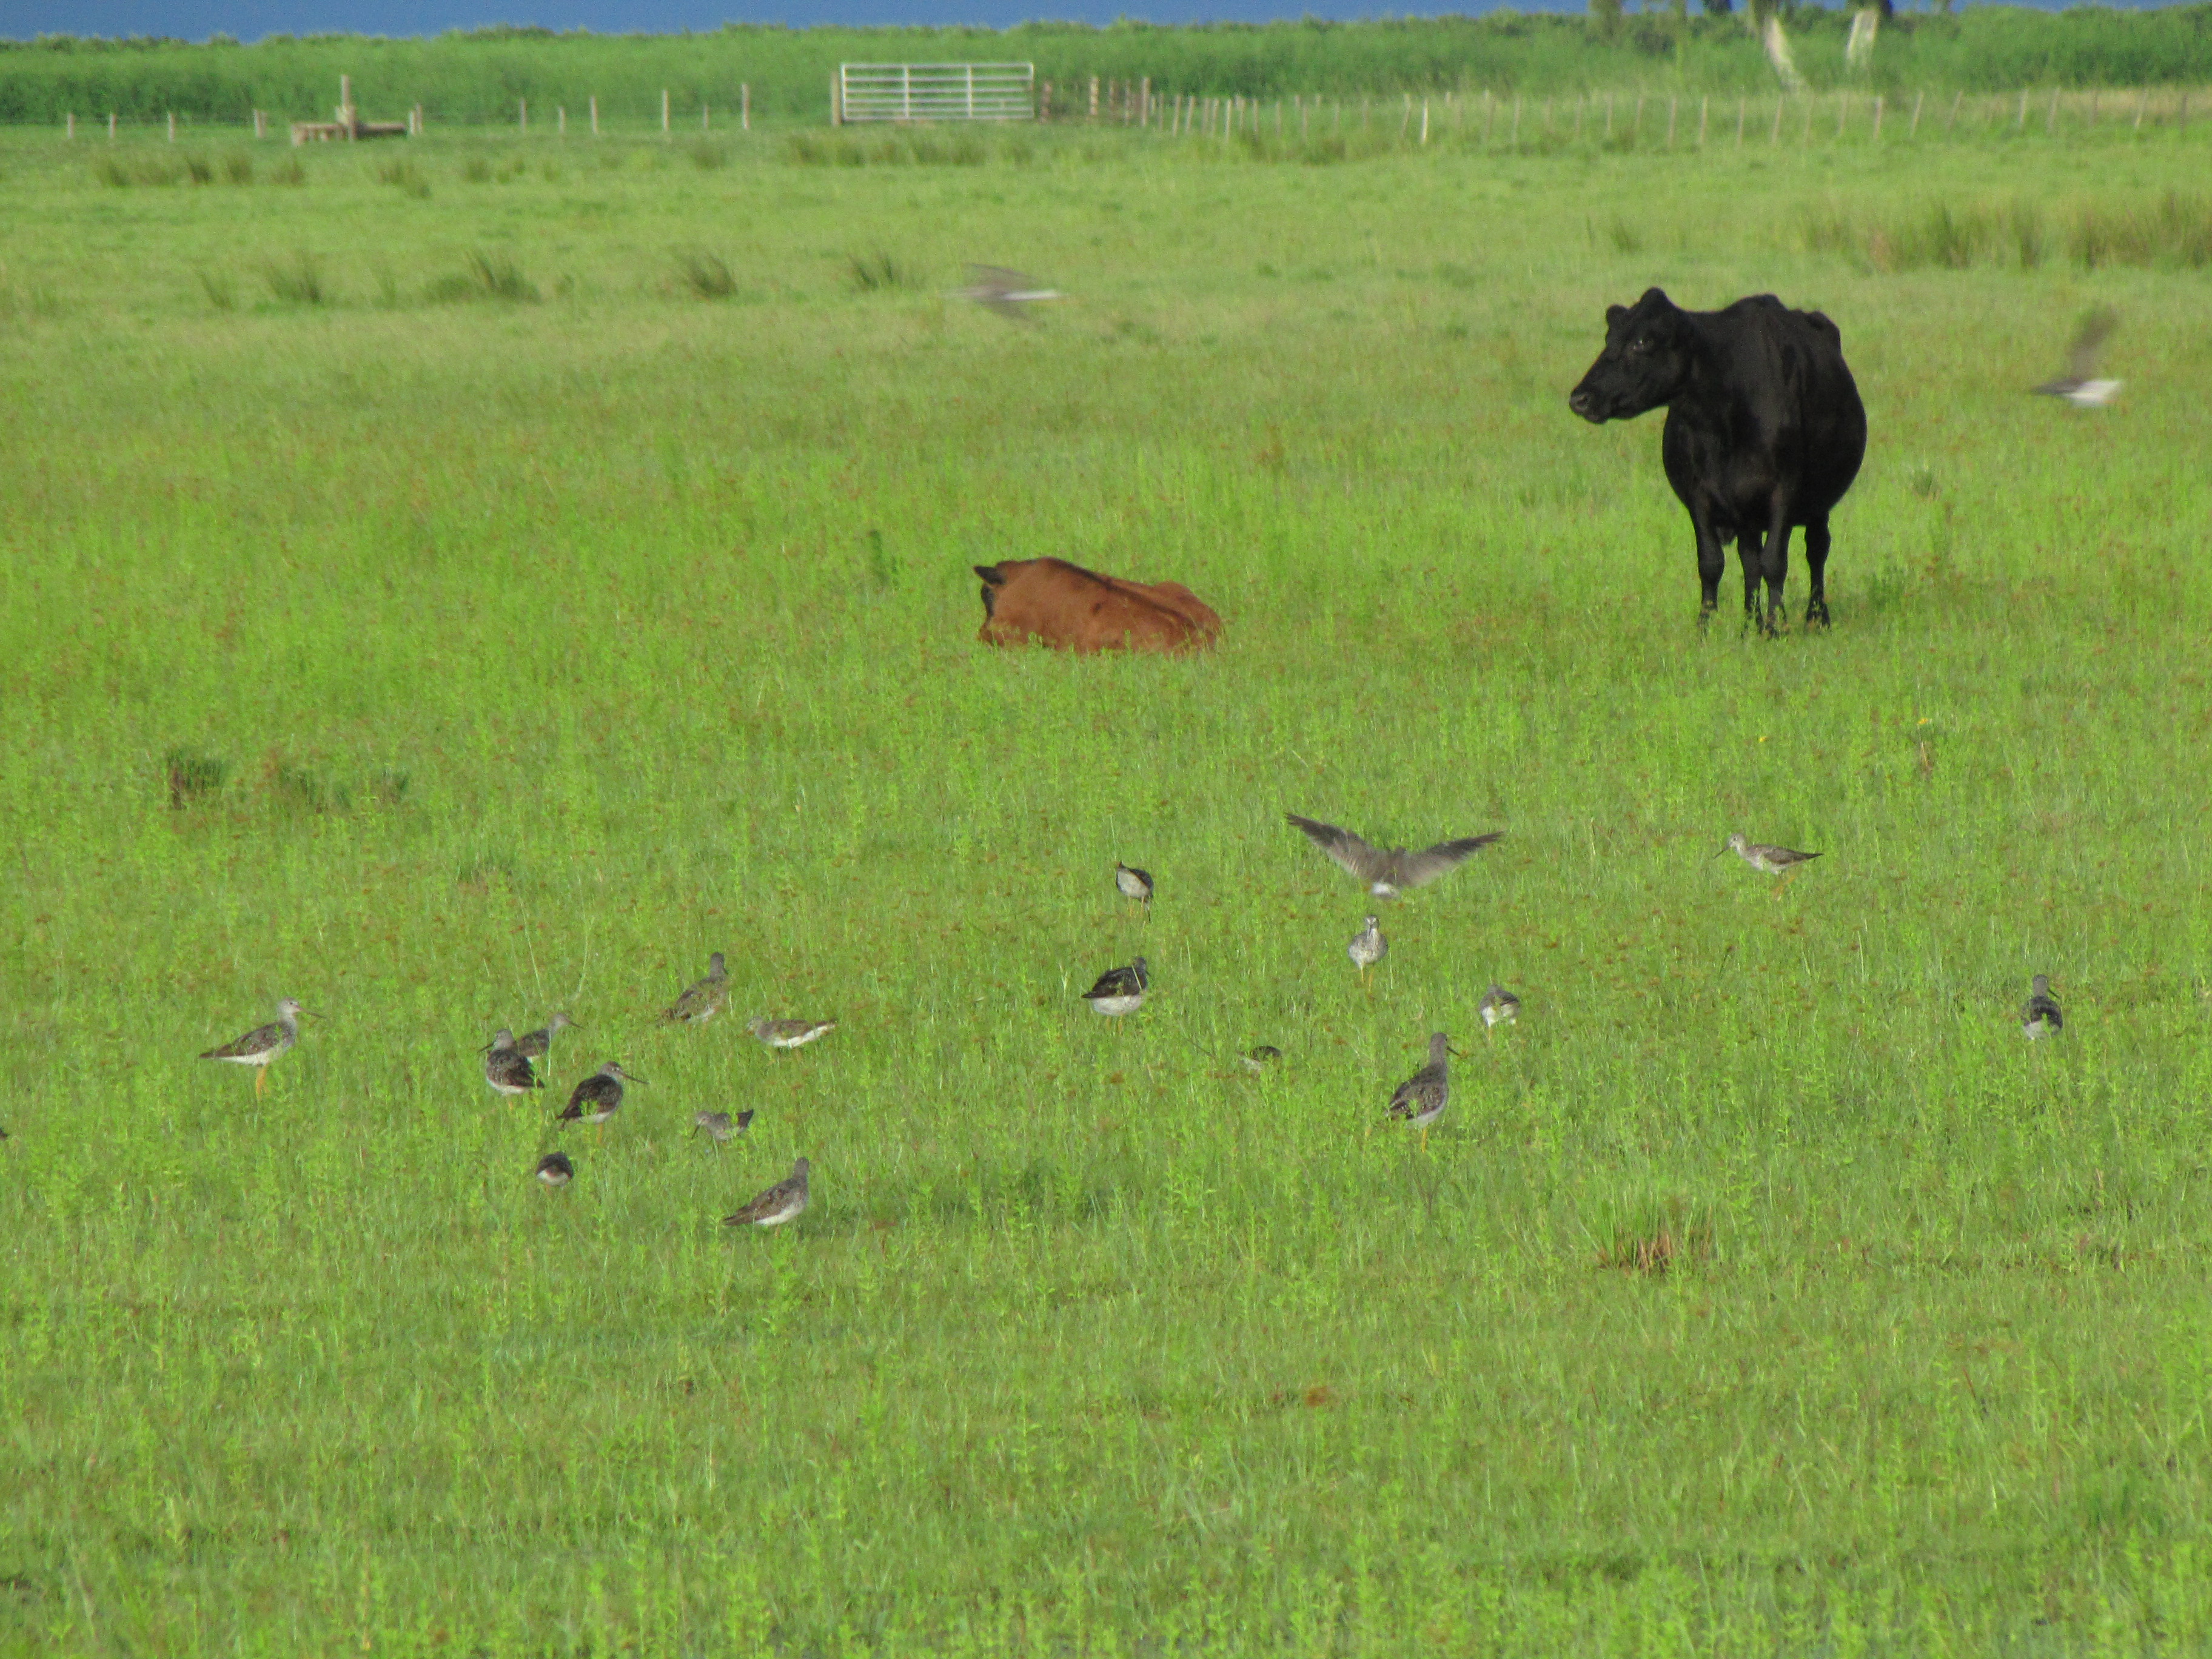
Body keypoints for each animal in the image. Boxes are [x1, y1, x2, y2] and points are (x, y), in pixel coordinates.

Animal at [1568, 288, 1866, 633]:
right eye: (1609, 337)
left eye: (1643, 341)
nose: (1580, 398)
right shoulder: (1700, 494)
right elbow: (1712, 563)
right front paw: (1706, 627)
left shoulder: (1785, 491)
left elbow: (1775, 563)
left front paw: (1775, 627)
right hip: (1748, 513)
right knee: (1750, 560)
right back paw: (1749, 625)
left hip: (1818, 501)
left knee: (1816, 550)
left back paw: (1816, 617)